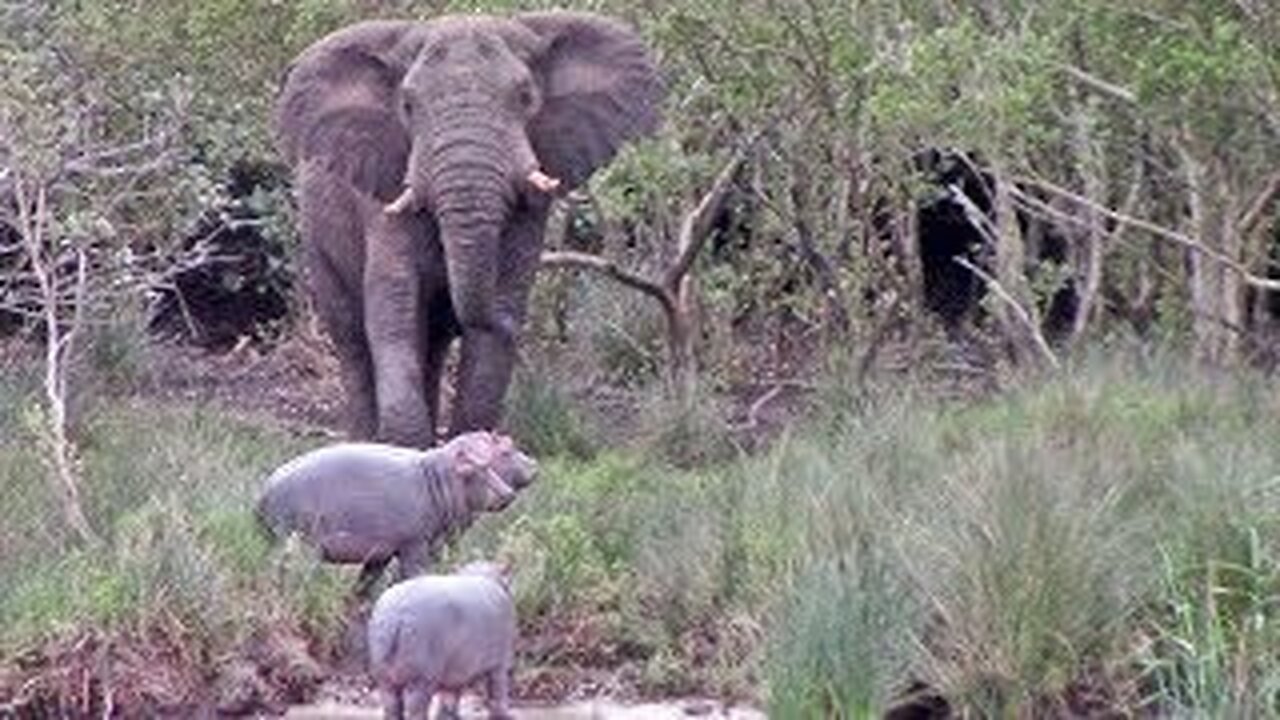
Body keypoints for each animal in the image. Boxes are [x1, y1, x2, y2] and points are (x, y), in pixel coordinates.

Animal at [254, 425, 535, 594]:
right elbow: (413, 574)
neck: (440, 477)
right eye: (480, 467)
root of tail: (265, 491)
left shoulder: (383, 551)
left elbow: (368, 581)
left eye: (491, 464)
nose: (508, 493)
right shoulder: (415, 545)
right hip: (301, 545)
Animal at [275, 11, 665, 445]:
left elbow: (497, 307)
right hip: (316, 237)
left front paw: (464, 444)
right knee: (352, 336)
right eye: (408, 105)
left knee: (434, 342)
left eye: (525, 97)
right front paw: (405, 446)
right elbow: (393, 306)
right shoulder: (382, 190)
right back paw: (363, 440)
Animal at [368, 561, 517, 717]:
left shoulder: (456, 670)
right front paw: (503, 716)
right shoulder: (500, 663)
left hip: (384, 677)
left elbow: (449, 697)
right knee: (416, 710)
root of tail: (396, 614)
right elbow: (498, 692)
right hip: (421, 680)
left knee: (391, 706)